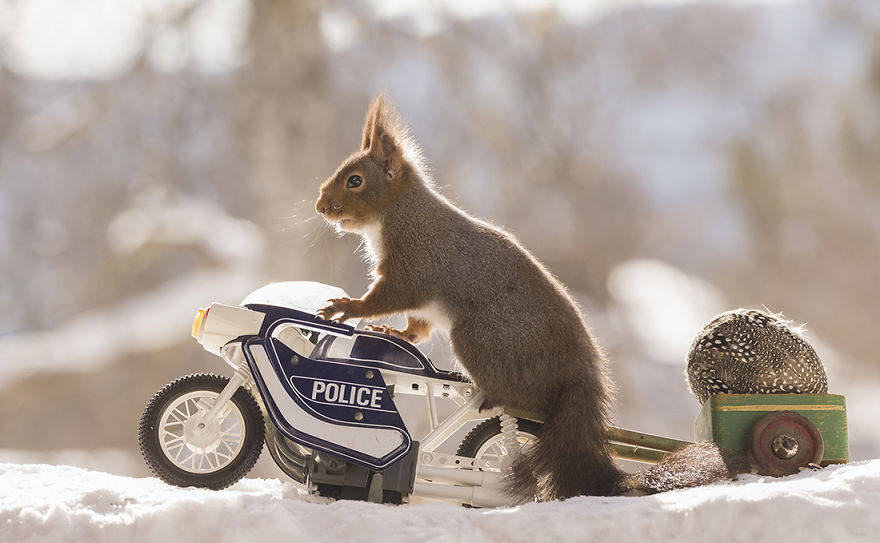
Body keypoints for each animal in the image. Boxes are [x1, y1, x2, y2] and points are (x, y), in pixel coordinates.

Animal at [314, 93, 745, 501]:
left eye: (355, 181)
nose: (320, 206)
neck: (399, 211)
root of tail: (578, 372)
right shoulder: (423, 303)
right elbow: (416, 327)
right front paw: (395, 334)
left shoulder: (416, 263)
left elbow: (390, 296)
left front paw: (348, 307)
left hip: (480, 338)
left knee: (523, 401)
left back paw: (490, 395)